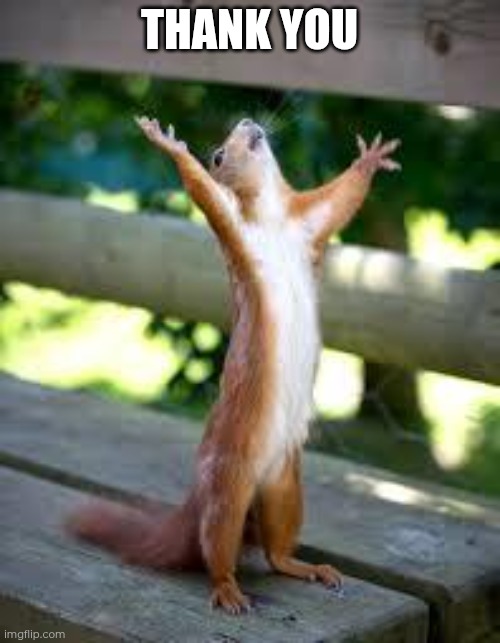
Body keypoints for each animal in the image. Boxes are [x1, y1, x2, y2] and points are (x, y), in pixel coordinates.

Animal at [68, 116, 400, 614]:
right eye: (219, 154)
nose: (247, 121)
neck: (274, 217)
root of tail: (198, 498)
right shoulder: (235, 227)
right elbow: (204, 192)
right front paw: (169, 145)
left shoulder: (309, 221)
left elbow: (341, 199)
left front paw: (371, 159)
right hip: (228, 490)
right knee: (217, 548)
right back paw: (227, 589)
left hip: (285, 485)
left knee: (276, 550)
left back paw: (306, 567)